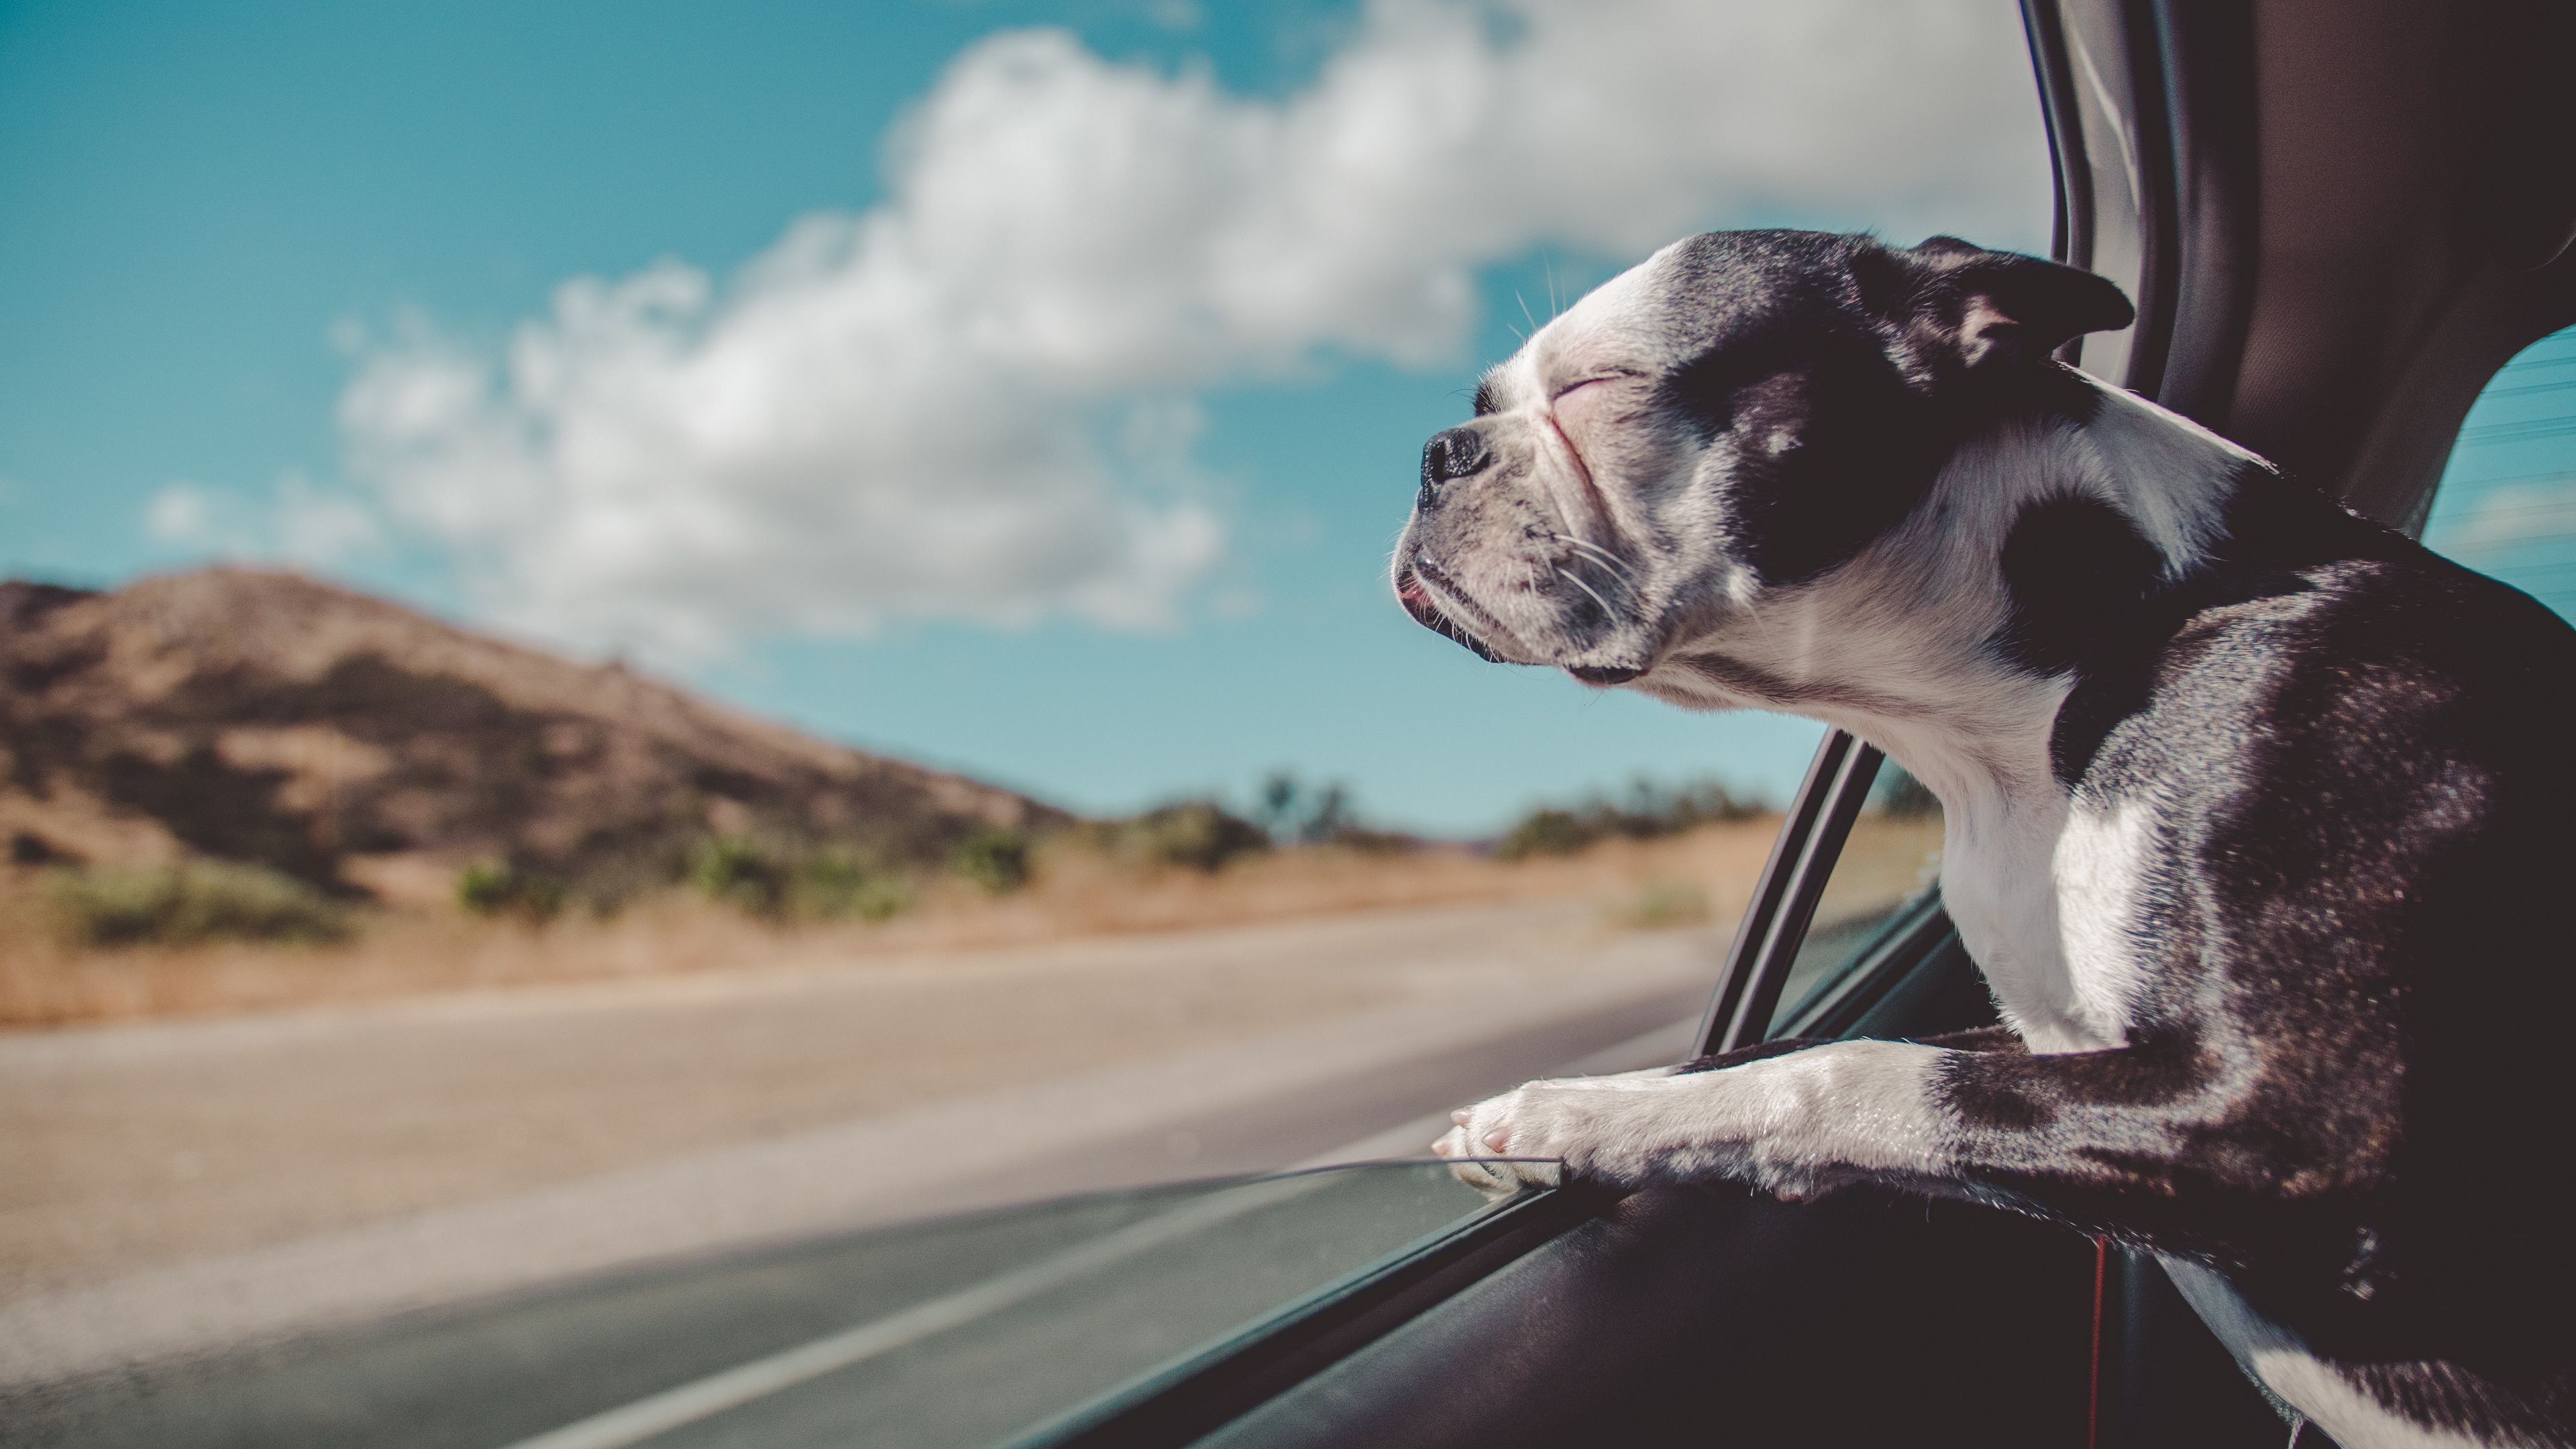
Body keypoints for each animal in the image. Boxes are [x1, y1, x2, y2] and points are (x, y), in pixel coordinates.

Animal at [1401, 230, 2576, 1433]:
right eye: (1484, 405)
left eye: (1600, 387)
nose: (1440, 452)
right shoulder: (2051, 1041)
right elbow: (1763, 1050)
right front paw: (1573, 1108)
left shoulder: (2288, 1121)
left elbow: (1851, 1074)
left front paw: (1585, 1119)